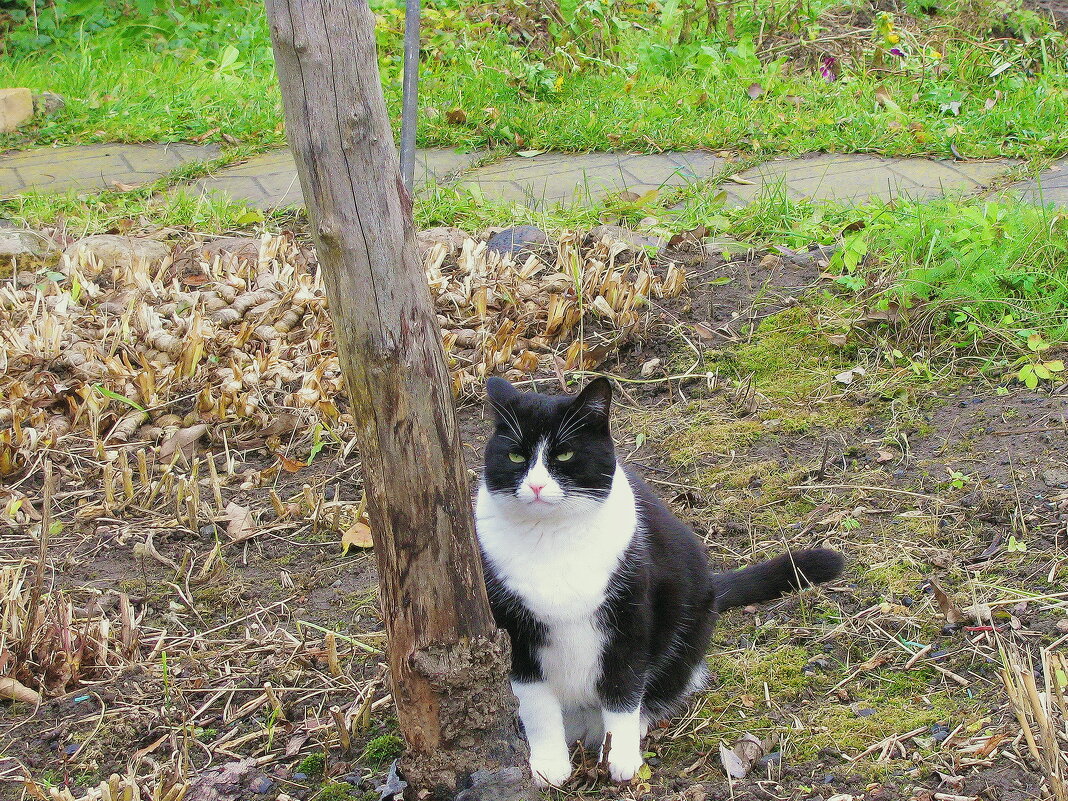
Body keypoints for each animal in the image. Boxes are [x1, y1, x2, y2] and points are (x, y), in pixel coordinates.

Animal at [476, 375, 841, 790]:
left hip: (688, 624)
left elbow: (623, 690)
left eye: (565, 455)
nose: (536, 487)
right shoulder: (514, 630)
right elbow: (536, 704)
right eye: (516, 457)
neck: (551, 537)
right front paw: (549, 765)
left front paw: (620, 757)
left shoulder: (631, 614)